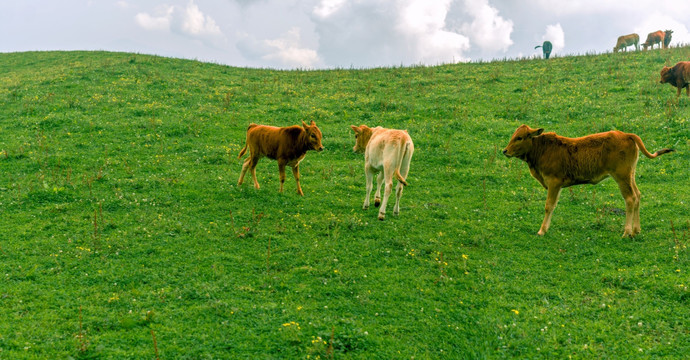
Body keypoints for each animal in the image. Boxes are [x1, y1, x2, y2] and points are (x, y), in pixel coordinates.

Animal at [500, 125, 672, 238]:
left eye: (519, 137)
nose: (505, 151)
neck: (542, 149)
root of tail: (626, 135)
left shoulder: (554, 183)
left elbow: (549, 206)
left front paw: (542, 230)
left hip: (622, 177)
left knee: (630, 199)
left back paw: (627, 232)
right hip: (630, 176)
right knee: (637, 196)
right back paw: (636, 230)